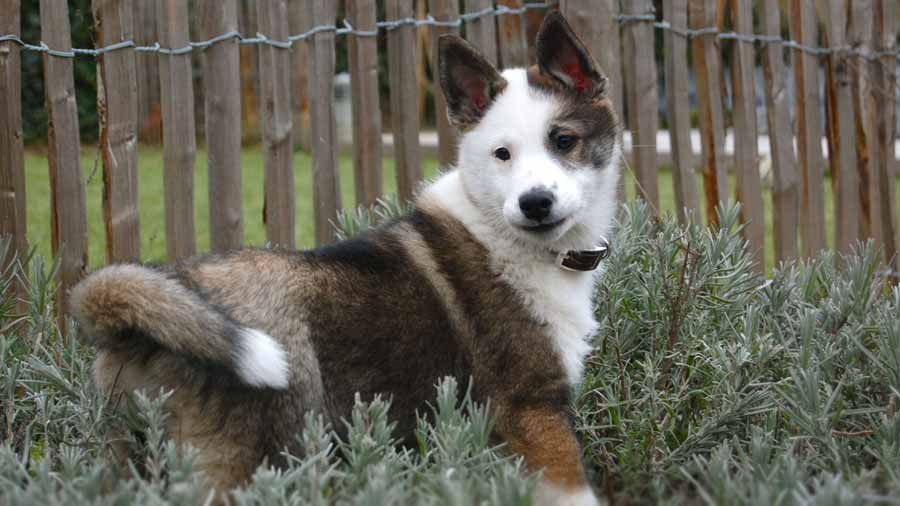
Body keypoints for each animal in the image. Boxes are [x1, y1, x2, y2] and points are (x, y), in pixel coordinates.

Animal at [68, 12, 620, 506]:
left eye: (564, 141)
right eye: (502, 154)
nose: (535, 203)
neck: (510, 237)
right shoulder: (532, 409)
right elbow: (575, 491)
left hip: (133, 454)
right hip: (238, 460)